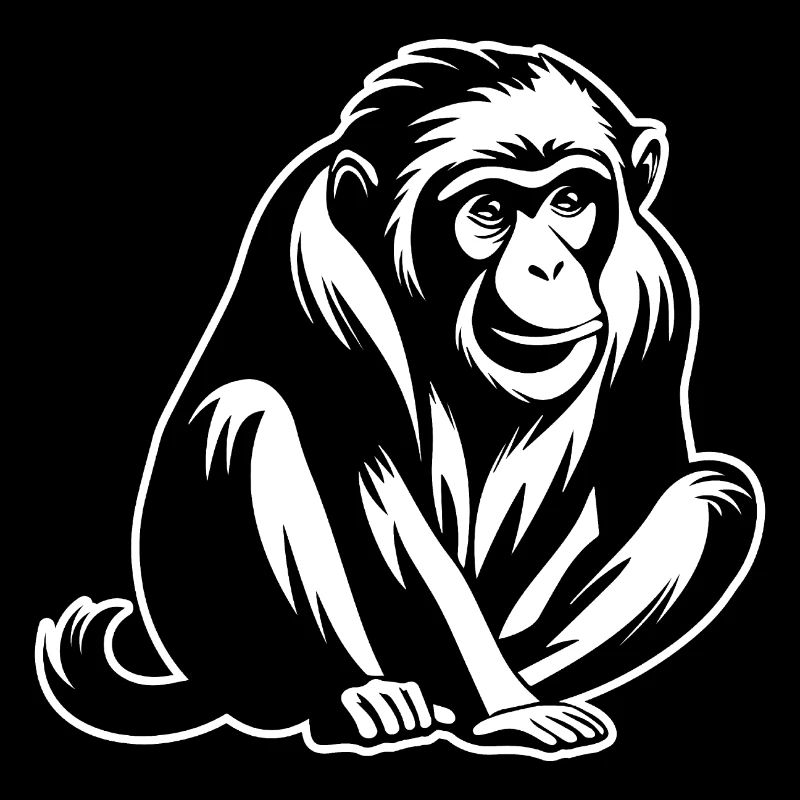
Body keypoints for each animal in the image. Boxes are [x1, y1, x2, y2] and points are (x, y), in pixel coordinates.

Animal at [36, 40, 762, 760]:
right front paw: (508, 710)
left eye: (570, 200)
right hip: (227, 647)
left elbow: (645, 478)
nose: (549, 266)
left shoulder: (657, 289)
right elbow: (382, 493)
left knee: (716, 497)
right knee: (244, 419)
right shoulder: (326, 277)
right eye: (489, 211)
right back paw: (356, 699)